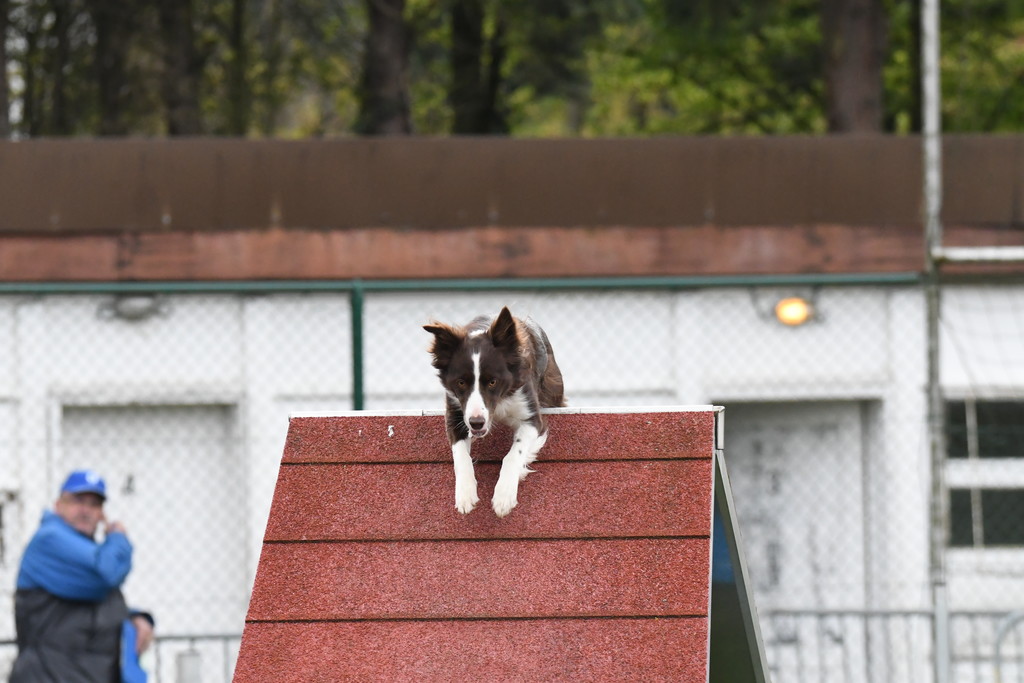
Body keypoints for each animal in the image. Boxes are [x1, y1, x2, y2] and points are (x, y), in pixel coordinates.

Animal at [424, 306, 565, 517]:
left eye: (492, 381)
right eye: (461, 382)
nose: (477, 423)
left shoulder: (531, 417)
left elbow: (513, 454)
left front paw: (503, 496)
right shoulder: (455, 414)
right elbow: (460, 455)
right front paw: (465, 494)